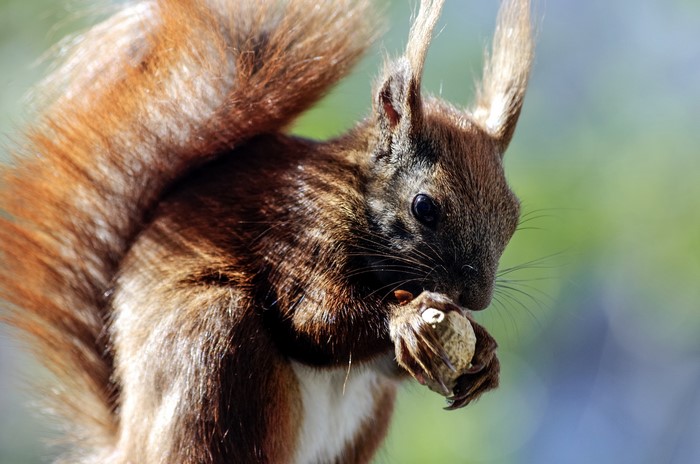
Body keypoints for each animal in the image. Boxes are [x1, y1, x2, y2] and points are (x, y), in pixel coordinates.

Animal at [0, 0, 534, 462]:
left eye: (514, 215)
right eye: (424, 207)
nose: (476, 298)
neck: (355, 195)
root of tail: (132, 444)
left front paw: (486, 355)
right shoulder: (297, 232)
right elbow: (313, 321)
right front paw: (404, 320)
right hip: (213, 351)